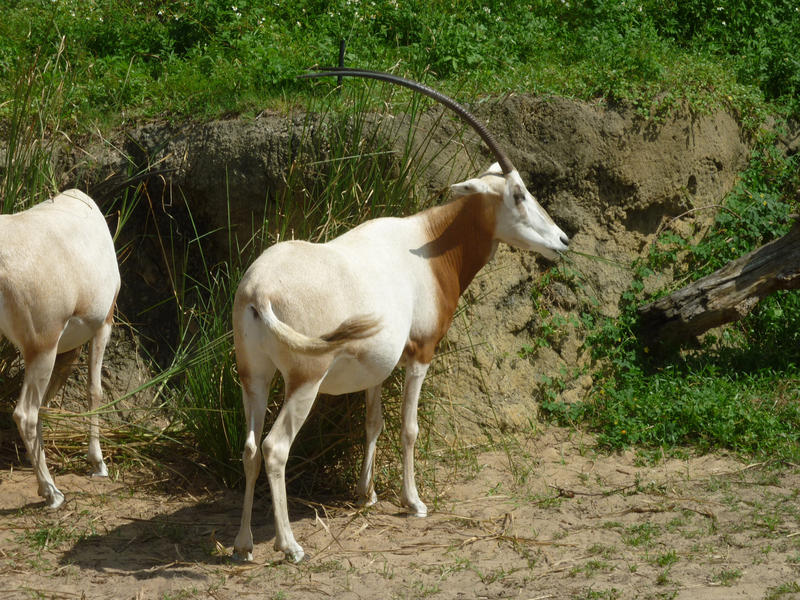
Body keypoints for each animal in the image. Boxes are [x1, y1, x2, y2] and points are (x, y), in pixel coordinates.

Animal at [0, 190, 119, 508]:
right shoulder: (103, 325)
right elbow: (94, 391)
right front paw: (97, 463)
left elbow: (47, 403)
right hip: (43, 348)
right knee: (24, 414)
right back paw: (52, 493)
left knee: (33, 408)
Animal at [231, 70, 568, 564]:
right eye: (519, 193)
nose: (562, 240)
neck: (428, 245)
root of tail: (258, 289)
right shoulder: (420, 353)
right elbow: (408, 428)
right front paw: (414, 502)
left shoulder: (376, 366)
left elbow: (374, 422)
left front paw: (366, 494)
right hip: (305, 380)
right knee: (275, 448)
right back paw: (289, 546)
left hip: (254, 375)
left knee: (251, 448)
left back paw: (243, 544)